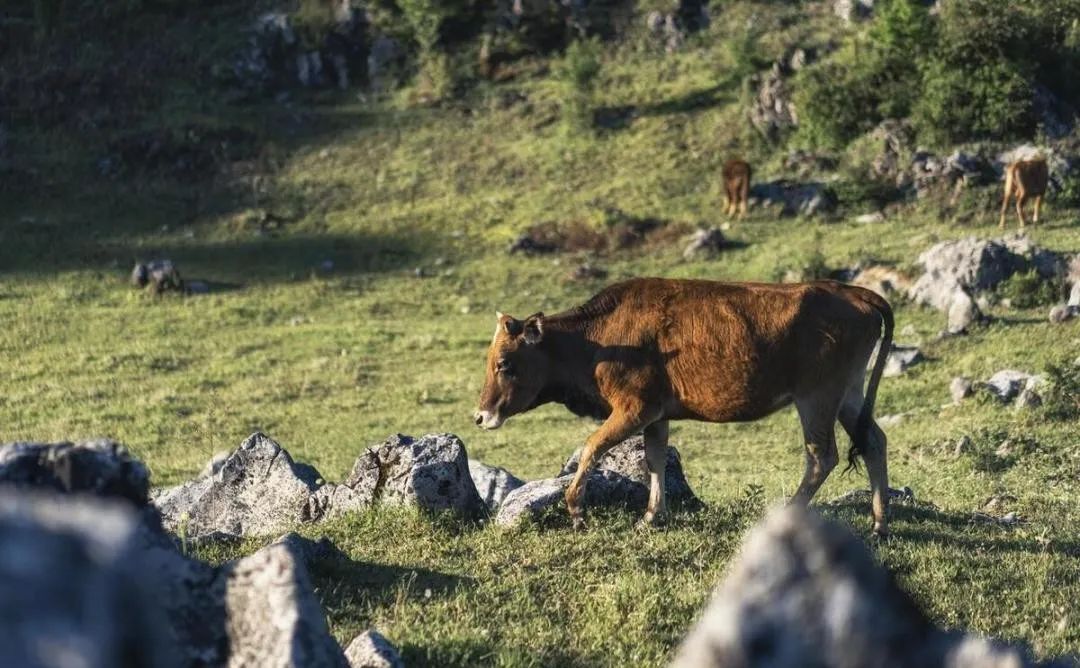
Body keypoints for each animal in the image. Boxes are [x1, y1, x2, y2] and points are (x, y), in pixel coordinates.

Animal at [473, 278, 894, 537]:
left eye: (504, 364)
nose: (480, 416)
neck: (597, 342)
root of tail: (853, 293)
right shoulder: (656, 414)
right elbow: (655, 459)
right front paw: (651, 516)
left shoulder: (634, 408)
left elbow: (592, 447)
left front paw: (577, 511)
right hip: (848, 393)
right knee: (873, 441)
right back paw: (879, 524)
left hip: (818, 396)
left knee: (822, 455)